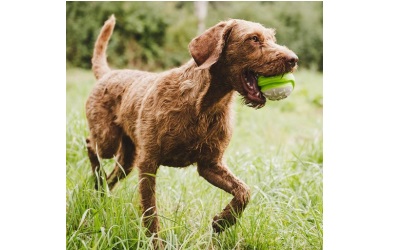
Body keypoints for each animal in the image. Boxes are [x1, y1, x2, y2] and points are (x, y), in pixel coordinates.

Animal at [86, 15, 298, 236]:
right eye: (254, 39)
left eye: (272, 38)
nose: (293, 59)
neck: (204, 105)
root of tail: (108, 74)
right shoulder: (148, 163)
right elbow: (151, 212)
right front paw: (154, 241)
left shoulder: (210, 164)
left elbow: (244, 192)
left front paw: (222, 221)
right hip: (108, 141)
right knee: (91, 145)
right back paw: (97, 178)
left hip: (127, 159)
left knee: (111, 176)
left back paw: (100, 193)